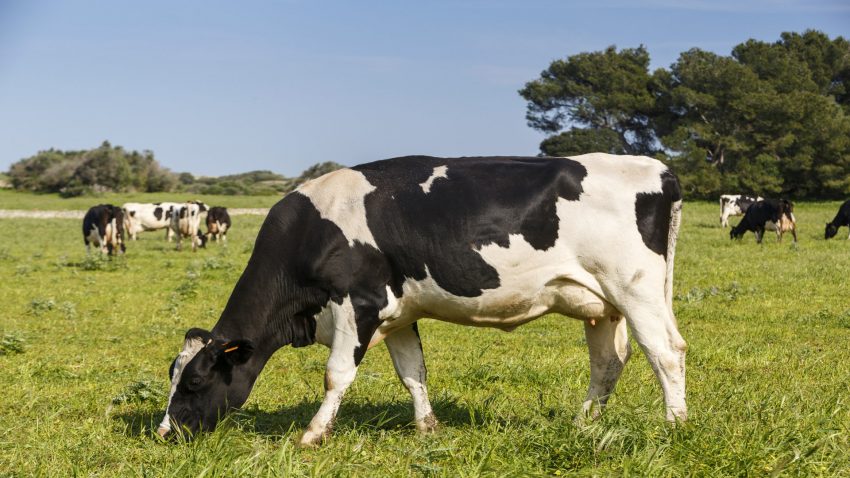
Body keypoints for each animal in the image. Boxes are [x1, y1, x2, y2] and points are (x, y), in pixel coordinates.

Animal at [157, 154, 687, 447]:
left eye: (195, 382)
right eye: (173, 376)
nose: (164, 433)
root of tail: (657, 169)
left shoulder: (359, 303)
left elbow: (336, 374)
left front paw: (312, 434)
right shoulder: (397, 314)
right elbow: (413, 372)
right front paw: (427, 428)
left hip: (636, 289)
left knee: (666, 352)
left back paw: (674, 426)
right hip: (602, 305)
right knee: (608, 362)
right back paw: (583, 425)